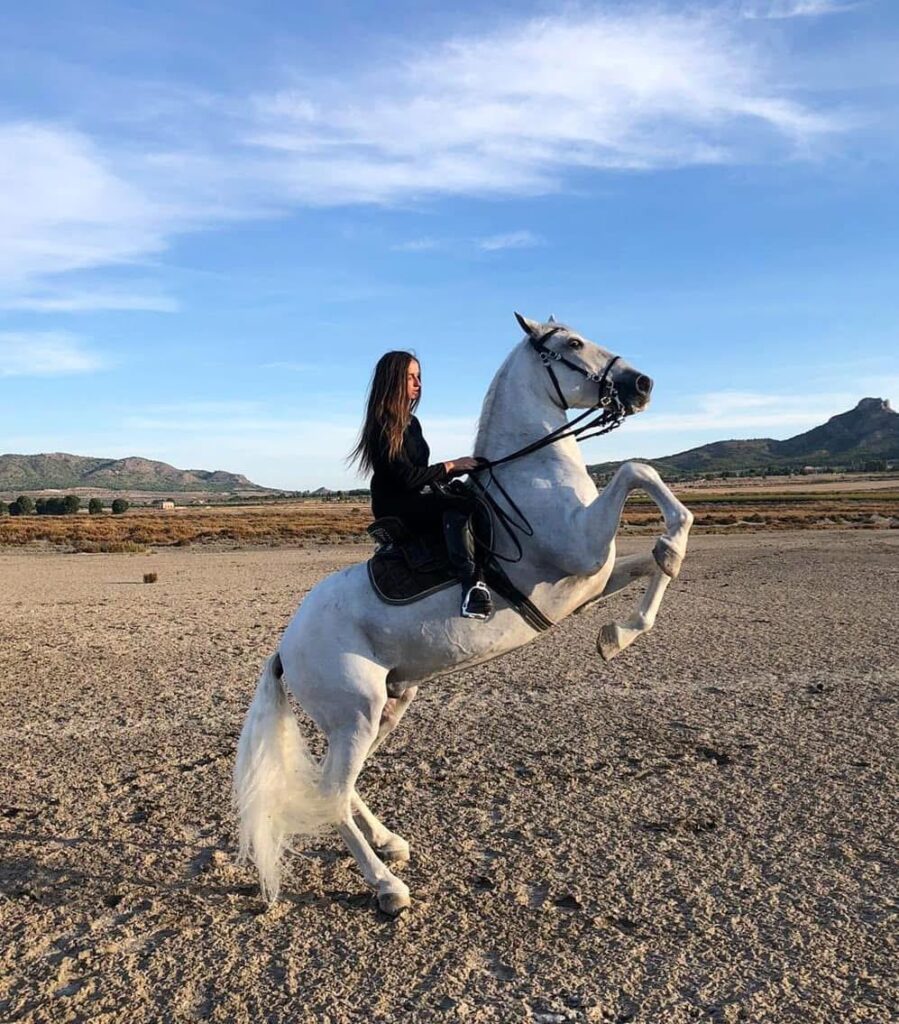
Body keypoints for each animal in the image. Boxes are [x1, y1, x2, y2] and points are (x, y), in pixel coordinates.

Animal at [233, 313, 694, 915]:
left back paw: (390, 842)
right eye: (572, 343)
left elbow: (651, 567)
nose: (642, 385)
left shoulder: (591, 581)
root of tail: (285, 648)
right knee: (331, 796)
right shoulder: (585, 547)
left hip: (387, 707)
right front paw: (669, 551)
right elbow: (638, 470)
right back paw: (387, 886)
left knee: (342, 788)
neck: (534, 475)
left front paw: (620, 632)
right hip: (355, 715)